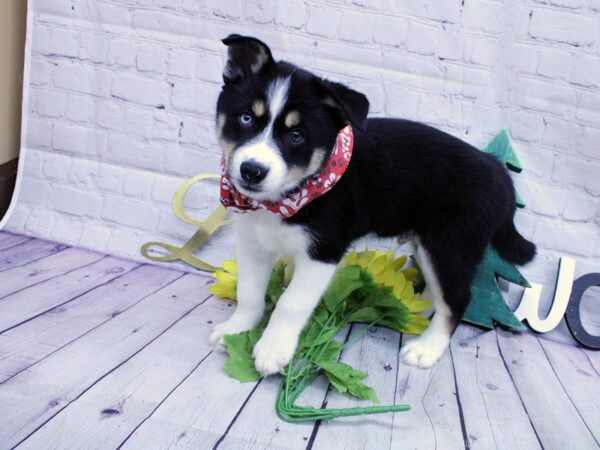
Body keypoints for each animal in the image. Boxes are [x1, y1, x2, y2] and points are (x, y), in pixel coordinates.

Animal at [209, 33, 536, 374]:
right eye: (246, 118)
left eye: (297, 135)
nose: (252, 170)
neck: (285, 200)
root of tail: (499, 171)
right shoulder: (252, 243)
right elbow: (249, 293)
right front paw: (236, 331)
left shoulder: (323, 252)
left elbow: (291, 303)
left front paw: (273, 348)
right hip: (430, 245)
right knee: (437, 291)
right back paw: (413, 311)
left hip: (450, 246)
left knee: (456, 299)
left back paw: (427, 348)